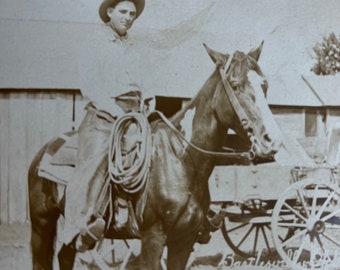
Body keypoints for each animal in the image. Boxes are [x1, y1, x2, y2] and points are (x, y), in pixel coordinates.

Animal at [27, 43, 282, 268]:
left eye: (265, 85)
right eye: (236, 85)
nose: (272, 141)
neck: (180, 158)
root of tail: (44, 150)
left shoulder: (184, 240)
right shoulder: (153, 238)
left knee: (65, 256)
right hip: (41, 224)